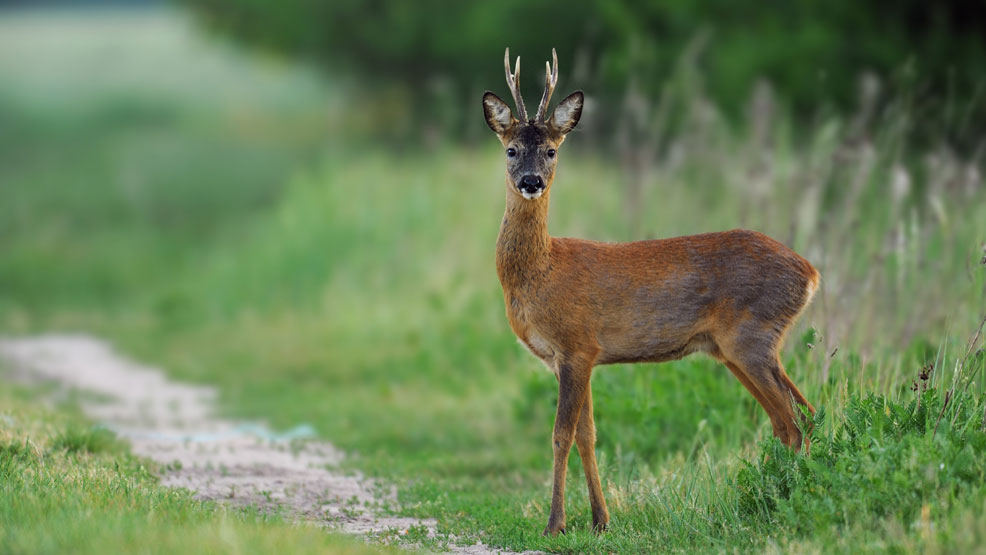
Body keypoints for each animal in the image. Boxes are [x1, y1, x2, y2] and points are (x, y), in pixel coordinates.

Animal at [482, 50, 816, 536]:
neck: (540, 272)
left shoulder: (576, 345)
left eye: (551, 150)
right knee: (793, 417)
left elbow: (561, 434)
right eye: (510, 149)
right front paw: (600, 520)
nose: (531, 181)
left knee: (796, 419)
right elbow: (588, 435)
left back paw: (782, 502)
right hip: (737, 350)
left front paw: (555, 524)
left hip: (752, 337)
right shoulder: (581, 356)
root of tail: (810, 273)